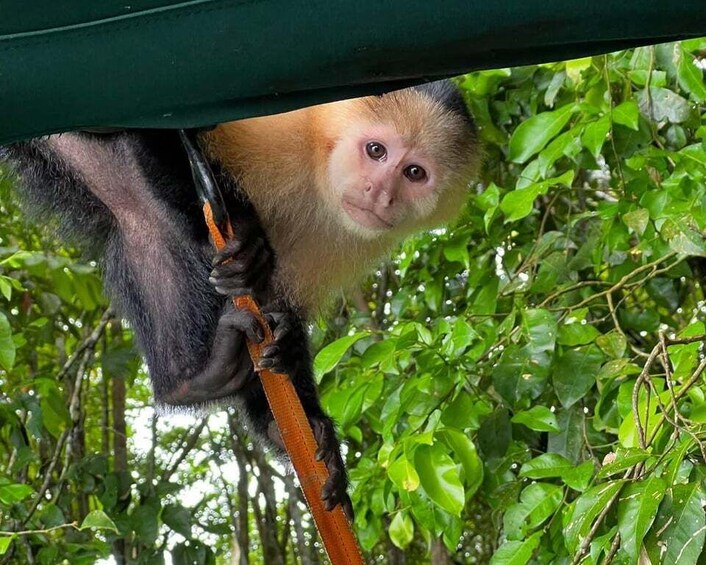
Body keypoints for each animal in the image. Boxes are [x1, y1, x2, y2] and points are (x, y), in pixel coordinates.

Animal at [0, 80, 479, 521]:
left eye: (414, 173)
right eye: (376, 151)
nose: (380, 193)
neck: (317, 171)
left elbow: (280, 310)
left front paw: (303, 414)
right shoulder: (279, 128)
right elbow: (165, 133)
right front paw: (246, 236)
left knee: (142, 233)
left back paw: (207, 377)